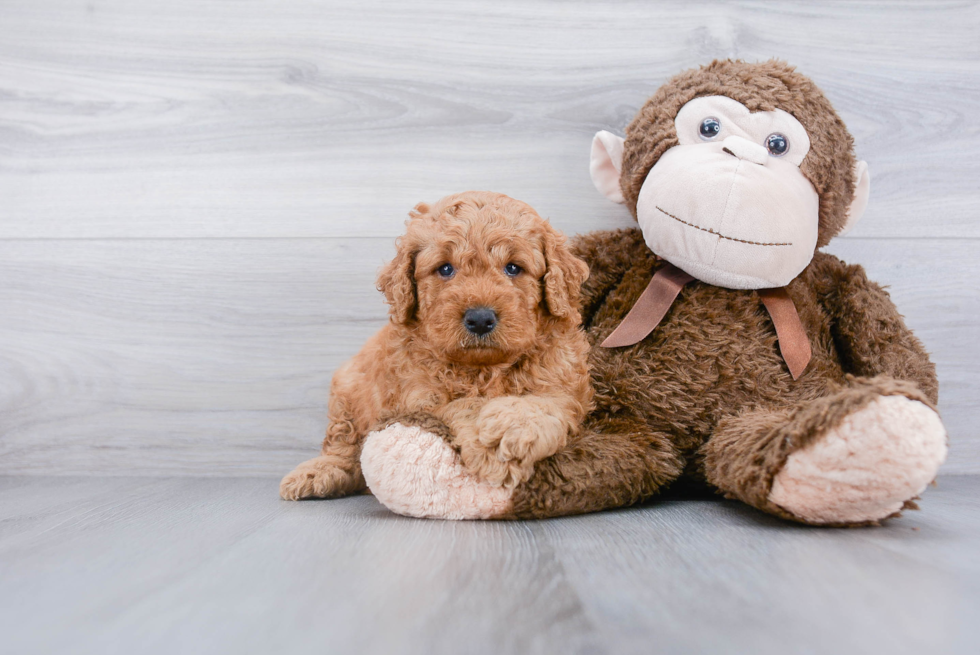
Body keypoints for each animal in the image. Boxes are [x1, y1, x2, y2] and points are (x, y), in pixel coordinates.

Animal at [280, 191, 592, 502]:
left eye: (513, 267)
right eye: (445, 268)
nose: (480, 319)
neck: (484, 368)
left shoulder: (562, 382)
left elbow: (540, 403)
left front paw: (508, 431)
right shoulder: (421, 398)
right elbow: (466, 404)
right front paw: (488, 441)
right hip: (347, 387)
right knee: (342, 441)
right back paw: (317, 472)